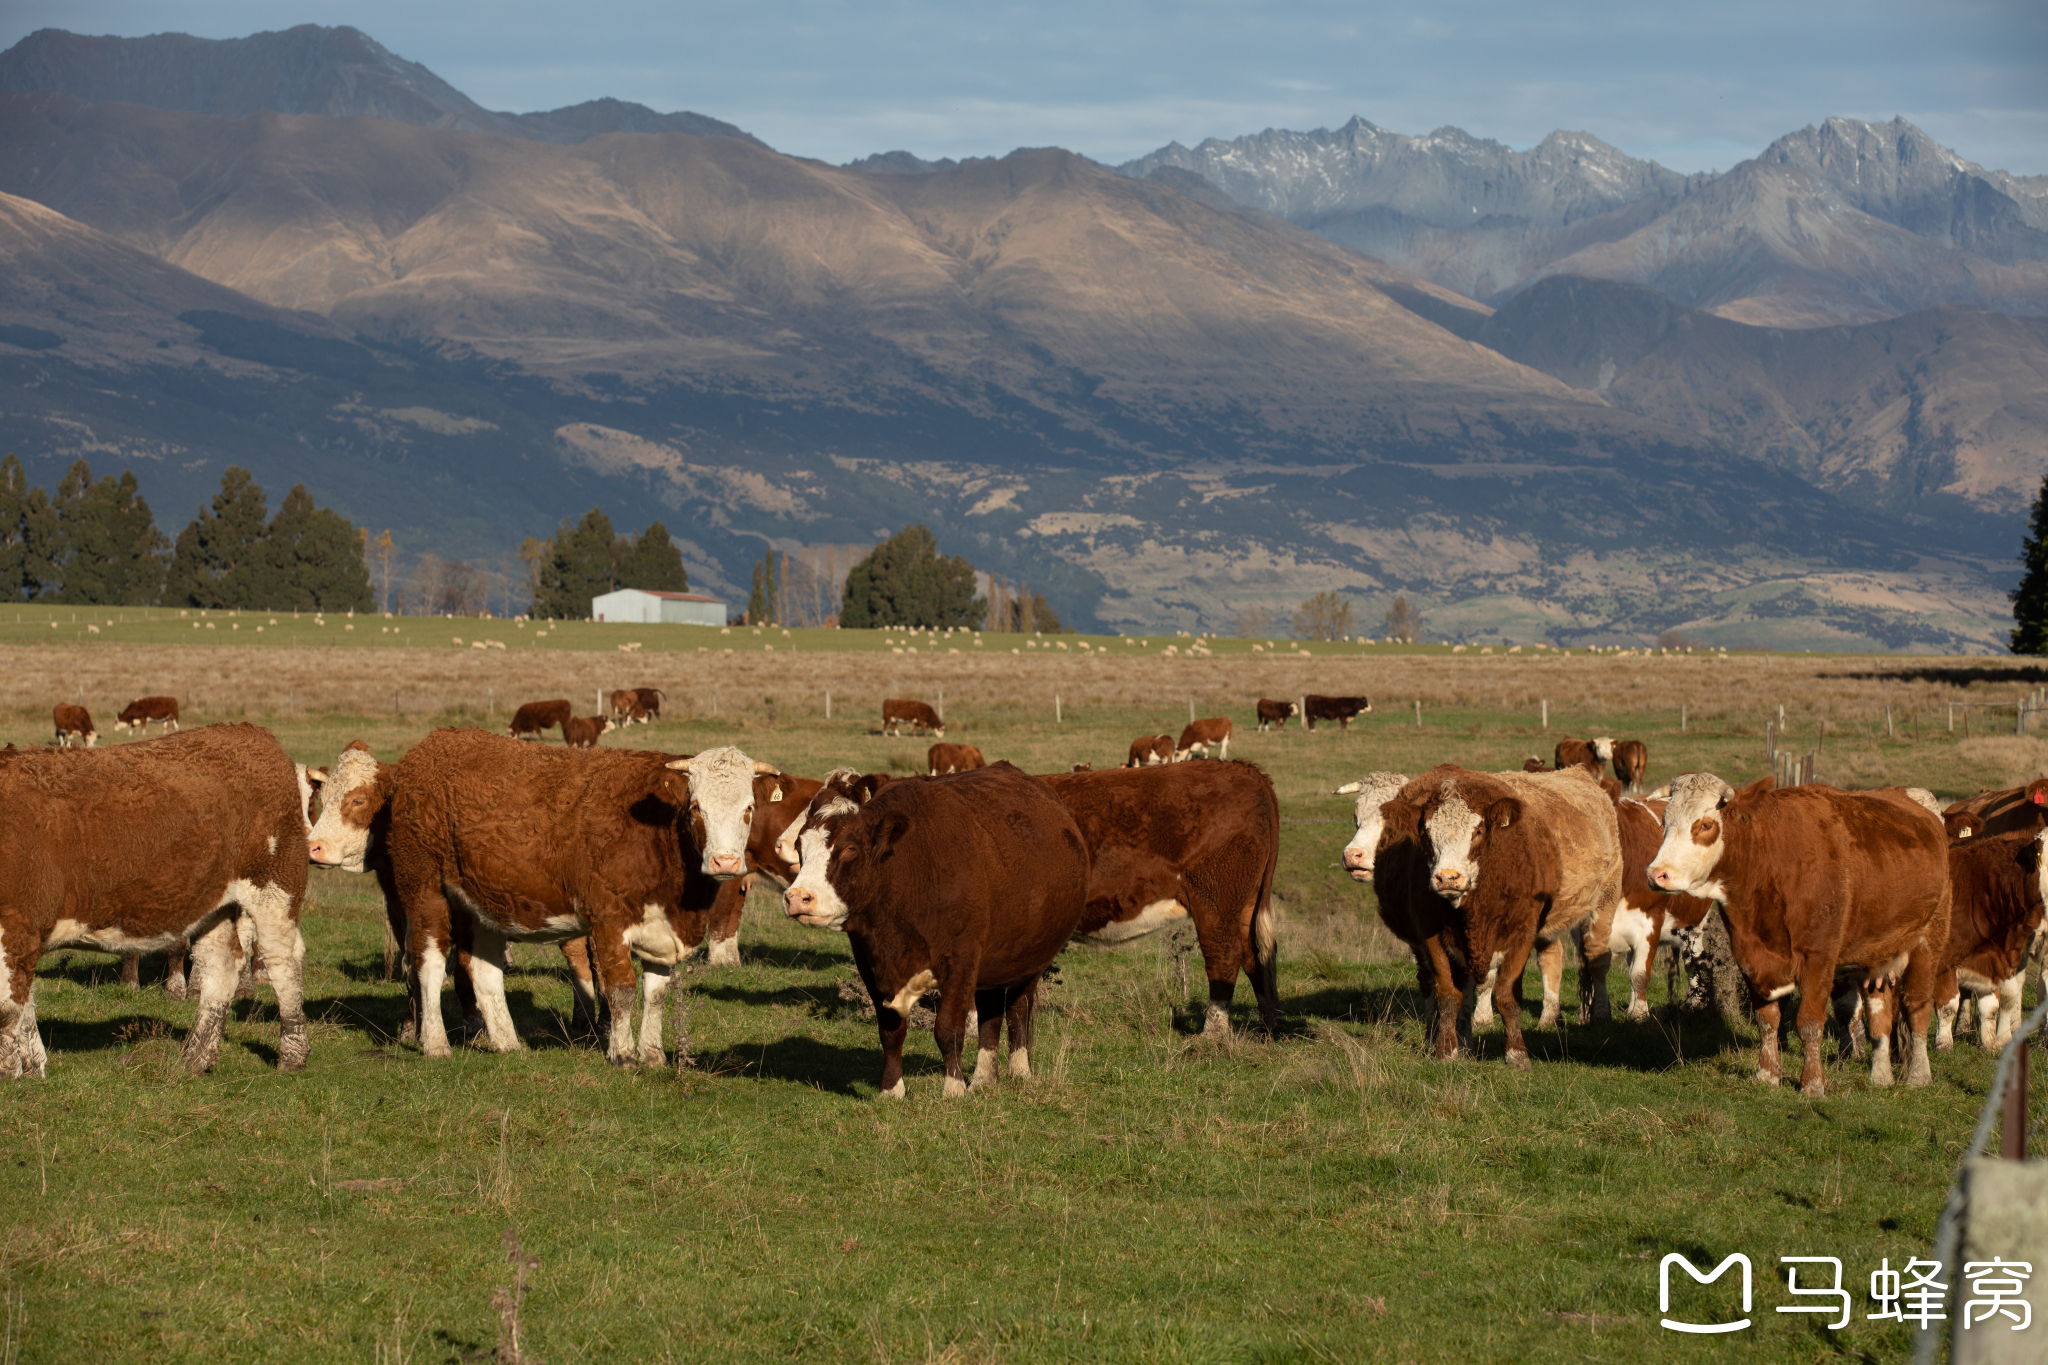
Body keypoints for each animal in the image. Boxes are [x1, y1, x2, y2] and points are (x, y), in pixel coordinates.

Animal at [0, 720, 311, 1080]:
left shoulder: (17, 923)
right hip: (214, 904)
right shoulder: (25, 932)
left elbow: (7, 1008)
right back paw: (195, 1058)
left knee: (283, 962)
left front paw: (10, 1074)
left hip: (275, 887)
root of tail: (251, 732)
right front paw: (31, 1068)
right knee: (220, 968)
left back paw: (292, 1055)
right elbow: (23, 1004)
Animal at [774, 769, 1089, 1096]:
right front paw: (892, 1090)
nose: (797, 897)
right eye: (801, 847)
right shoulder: (870, 963)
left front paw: (954, 1089)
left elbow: (948, 1029)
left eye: (850, 848)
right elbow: (890, 1030)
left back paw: (1019, 1072)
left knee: (1019, 1010)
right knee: (991, 1013)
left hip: (1029, 961)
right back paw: (984, 1078)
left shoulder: (962, 960)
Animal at [1040, 769, 1277, 1035]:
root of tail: (1245, 769)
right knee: (1256, 955)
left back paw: (1212, 1035)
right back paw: (1268, 1029)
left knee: (1225, 956)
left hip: (1216, 902)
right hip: (1245, 904)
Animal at [1409, 769, 1613, 1064]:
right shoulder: (1432, 933)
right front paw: (1448, 1049)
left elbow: (1506, 993)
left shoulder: (1521, 932)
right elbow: (1448, 993)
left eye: (1478, 831)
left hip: (1604, 900)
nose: (1447, 878)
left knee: (1597, 959)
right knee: (1552, 957)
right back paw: (1550, 1017)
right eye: (1427, 833)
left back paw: (1599, 1014)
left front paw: (1515, 1054)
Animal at [1646, 769, 1949, 1096]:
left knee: (1917, 1008)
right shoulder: (1751, 956)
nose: (1656, 874)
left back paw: (1918, 1074)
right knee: (1879, 1012)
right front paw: (1767, 1074)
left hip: (1929, 942)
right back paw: (1880, 1076)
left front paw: (1812, 1084)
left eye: (1704, 825)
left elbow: (1810, 1023)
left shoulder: (1818, 958)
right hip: (1877, 953)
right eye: (1664, 822)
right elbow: (1767, 1020)